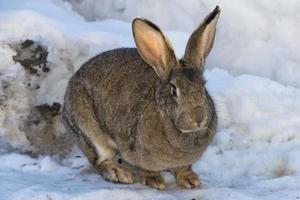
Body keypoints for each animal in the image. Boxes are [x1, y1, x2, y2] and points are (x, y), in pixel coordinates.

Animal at [62, 5, 220, 189]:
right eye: (174, 90)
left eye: (204, 85)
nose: (198, 119)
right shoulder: (134, 149)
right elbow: (146, 168)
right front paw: (154, 181)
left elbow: (183, 169)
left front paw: (190, 180)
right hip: (89, 132)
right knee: (99, 161)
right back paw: (119, 173)